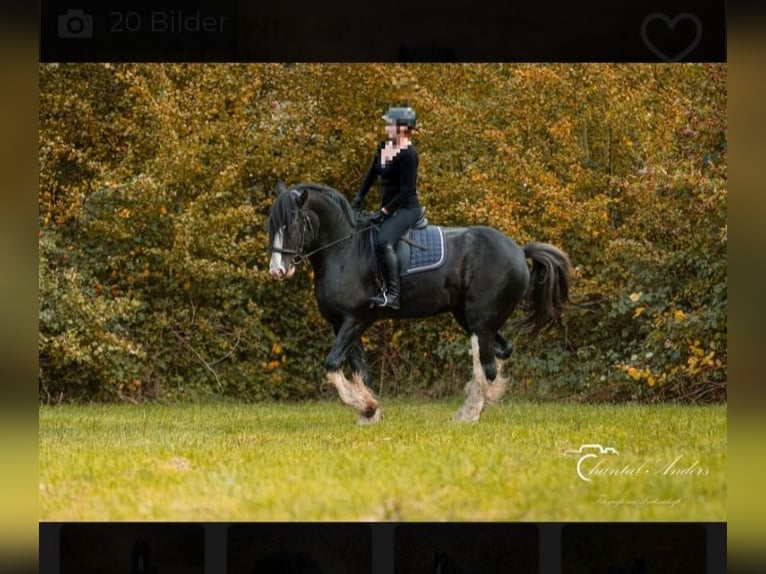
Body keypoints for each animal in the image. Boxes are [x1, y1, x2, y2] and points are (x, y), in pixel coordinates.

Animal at [268, 182, 572, 426]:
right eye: (271, 226)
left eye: (291, 224)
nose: (277, 271)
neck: (345, 250)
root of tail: (519, 250)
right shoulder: (341, 324)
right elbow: (361, 371)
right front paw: (370, 412)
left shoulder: (355, 320)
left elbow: (333, 365)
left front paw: (365, 407)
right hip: (470, 318)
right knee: (501, 352)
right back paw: (475, 405)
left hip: (480, 321)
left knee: (486, 365)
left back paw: (469, 415)